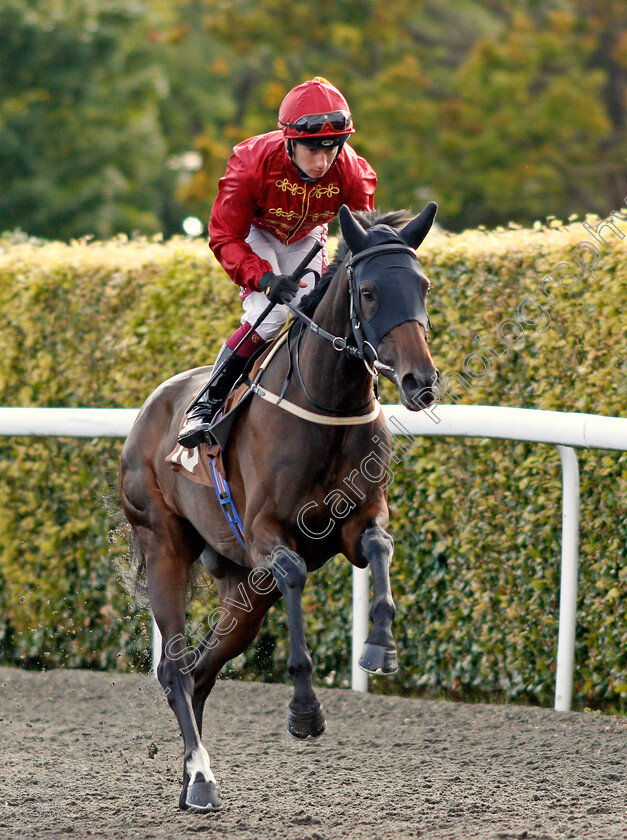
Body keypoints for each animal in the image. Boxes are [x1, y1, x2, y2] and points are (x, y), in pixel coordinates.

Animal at [120, 200, 440, 812]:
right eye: (368, 292)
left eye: (423, 286)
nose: (421, 381)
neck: (327, 406)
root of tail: (150, 409)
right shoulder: (266, 532)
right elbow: (293, 571)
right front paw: (304, 711)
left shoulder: (357, 520)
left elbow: (380, 546)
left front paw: (379, 650)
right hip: (165, 543)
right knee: (174, 668)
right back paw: (201, 776)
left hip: (245, 591)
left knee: (202, 669)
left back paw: (191, 780)